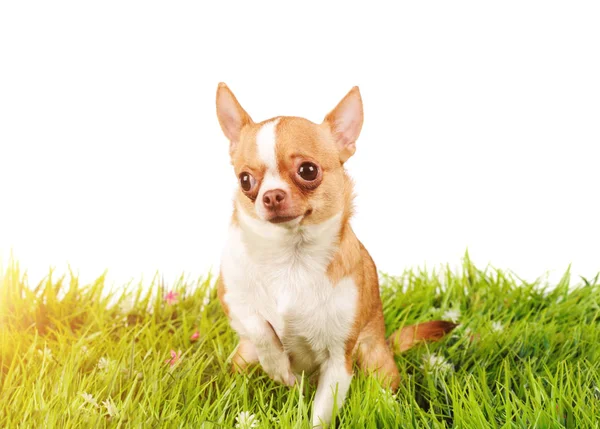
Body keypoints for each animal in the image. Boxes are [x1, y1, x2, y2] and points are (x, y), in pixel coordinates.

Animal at [218, 83, 458, 424]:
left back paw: (386, 406)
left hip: (373, 359)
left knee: (382, 389)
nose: (272, 195)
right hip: (242, 357)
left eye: (308, 170)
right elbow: (258, 324)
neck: (291, 259)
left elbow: (321, 414)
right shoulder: (231, 297)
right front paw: (278, 366)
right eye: (245, 180)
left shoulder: (338, 361)